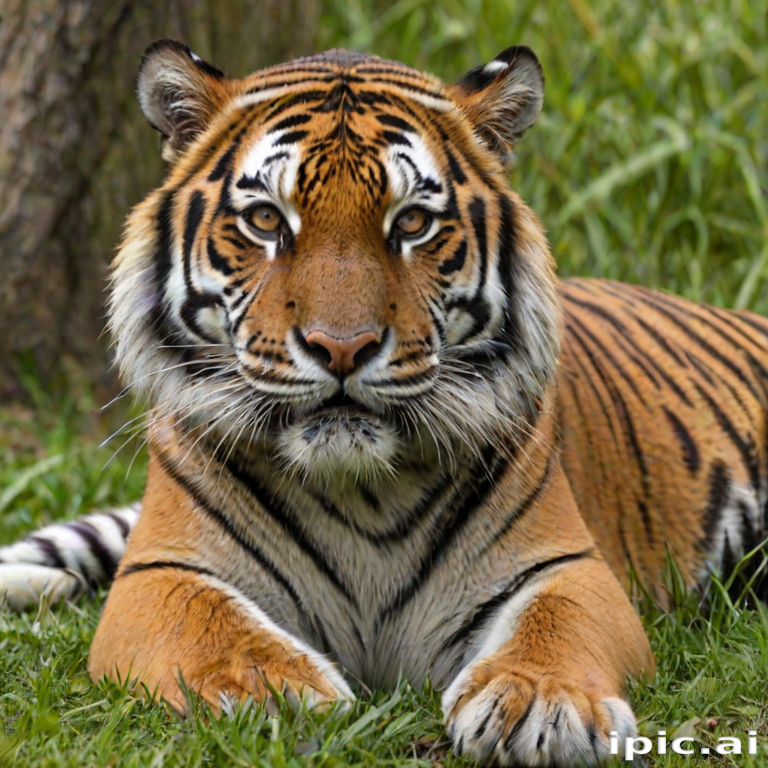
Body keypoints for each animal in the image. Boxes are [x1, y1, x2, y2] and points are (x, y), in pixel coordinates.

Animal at [1, 39, 767, 767]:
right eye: (265, 220)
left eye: (413, 223)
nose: (342, 348)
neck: (361, 493)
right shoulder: (161, 572)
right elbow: (213, 630)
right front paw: (273, 695)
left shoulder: (570, 565)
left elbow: (555, 630)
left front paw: (541, 705)